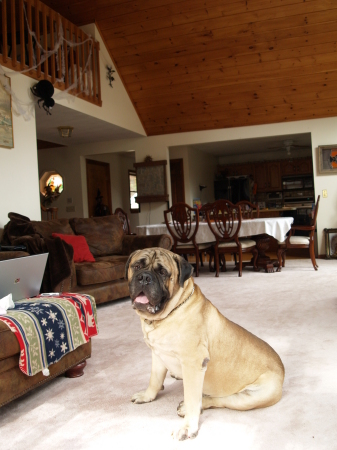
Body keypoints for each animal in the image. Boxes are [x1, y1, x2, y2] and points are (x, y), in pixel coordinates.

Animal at [126, 246, 284, 440]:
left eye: (162, 272)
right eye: (137, 266)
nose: (144, 277)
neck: (166, 315)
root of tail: (282, 370)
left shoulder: (193, 363)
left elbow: (192, 398)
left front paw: (188, 426)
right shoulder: (157, 354)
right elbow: (154, 380)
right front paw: (147, 396)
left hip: (249, 398)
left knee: (219, 400)